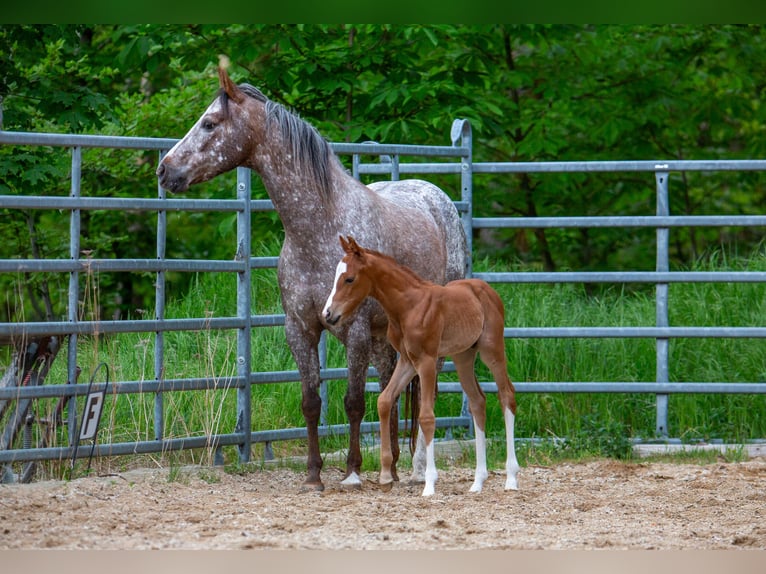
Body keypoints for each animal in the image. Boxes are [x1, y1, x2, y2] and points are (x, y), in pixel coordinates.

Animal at [155, 58, 468, 491]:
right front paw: (314, 475)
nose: (164, 170)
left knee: (426, 384)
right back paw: (393, 467)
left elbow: (353, 402)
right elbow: (311, 402)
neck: (320, 229)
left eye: (210, 123)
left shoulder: (353, 330)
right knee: (392, 383)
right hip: (385, 335)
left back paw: (421, 468)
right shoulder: (300, 328)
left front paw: (351, 473)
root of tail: (437, 197)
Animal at [323, 236, 519, 496]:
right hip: (463, 356)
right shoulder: (407, 361)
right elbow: (384, 401)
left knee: (507, 395)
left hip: (492, 349)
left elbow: (426, 416)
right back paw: (477, 482)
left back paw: (511, 478)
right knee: (478, 401)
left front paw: (428, 482)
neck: (408, 306)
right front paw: (386, 476)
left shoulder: (426, 361)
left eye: (349, 279)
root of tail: (488, 290)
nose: (328, 314)